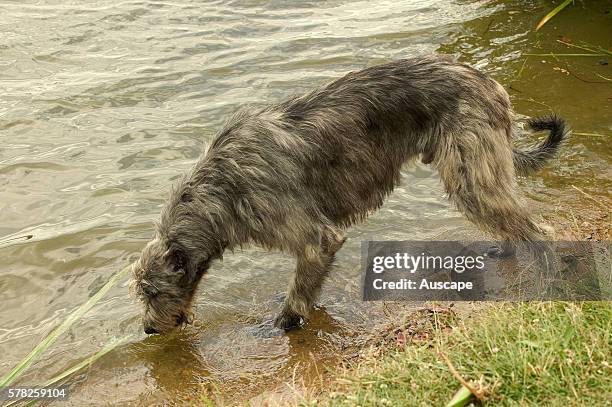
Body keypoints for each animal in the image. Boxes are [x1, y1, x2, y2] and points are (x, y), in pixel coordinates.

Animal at [129, 54, 568, 334]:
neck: (220, 189)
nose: (148, 330)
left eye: (153, 292)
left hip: (470, 174)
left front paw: (283, 325)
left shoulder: (314, 238)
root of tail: (491, 84)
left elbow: (301, 287)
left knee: (537, 229)